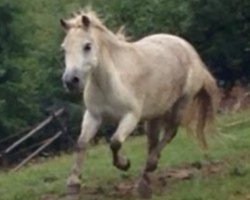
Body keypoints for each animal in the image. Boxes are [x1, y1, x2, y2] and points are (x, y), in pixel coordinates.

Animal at [59, 9, 219, 197]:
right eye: (64, 48)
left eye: (87, 46)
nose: (70, 81)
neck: (110, 82)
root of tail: (188, 48)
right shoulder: (93, 116)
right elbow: (81, 144)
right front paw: (73, 185)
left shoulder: (131, 117)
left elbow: (115, 142)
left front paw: (124, 164)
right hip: (155, 114)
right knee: (153, 142)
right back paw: (145, 181)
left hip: (181, 103)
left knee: (170, 133)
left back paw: (149, 167)